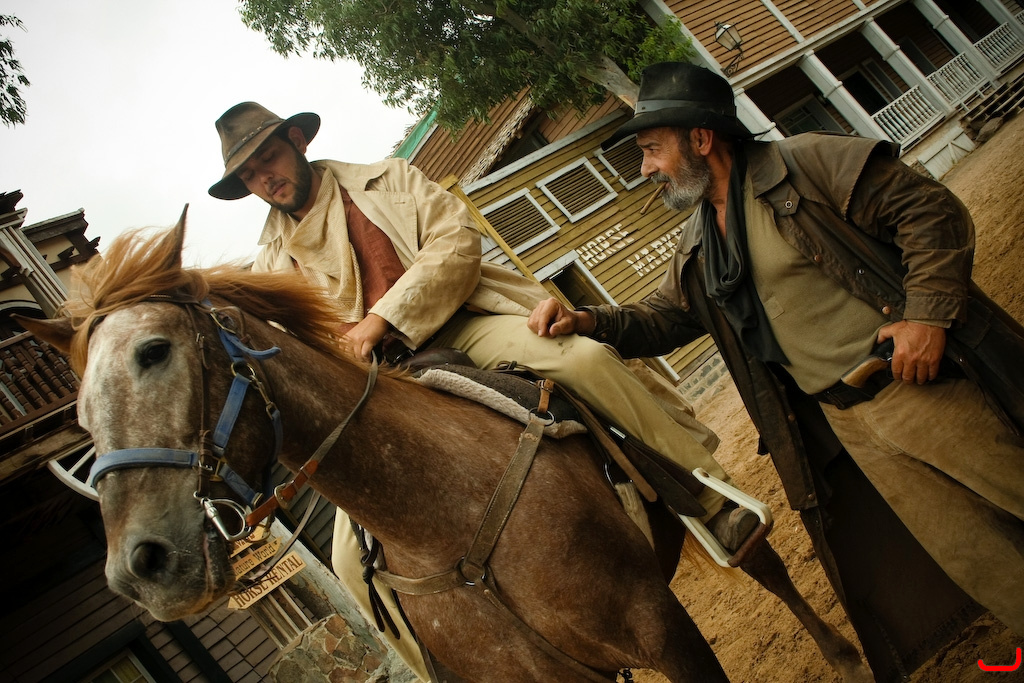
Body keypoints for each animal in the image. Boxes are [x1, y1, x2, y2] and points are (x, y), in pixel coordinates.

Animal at [22, 218, 872, 682]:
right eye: (81, 414)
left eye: (155, 351)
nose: (141, 568)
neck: (444, 519)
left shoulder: (662, 628)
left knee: (762, 560)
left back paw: (841, 650)